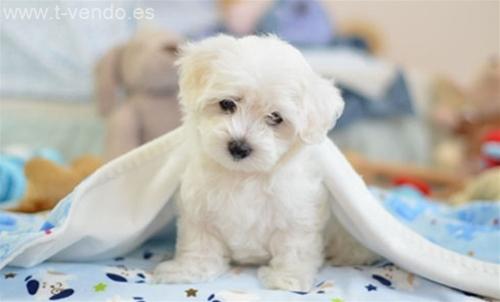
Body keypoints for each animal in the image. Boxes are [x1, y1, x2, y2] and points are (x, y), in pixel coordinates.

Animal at [154, 34, 376, 292]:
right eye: (227, 104)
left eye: (275, 117)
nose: (239, 147)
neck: (244, 176)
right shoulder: (199, 211)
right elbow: (199, 243)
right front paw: (187, 270)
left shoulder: (298, 214)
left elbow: (294, 247)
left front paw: (287, 279)